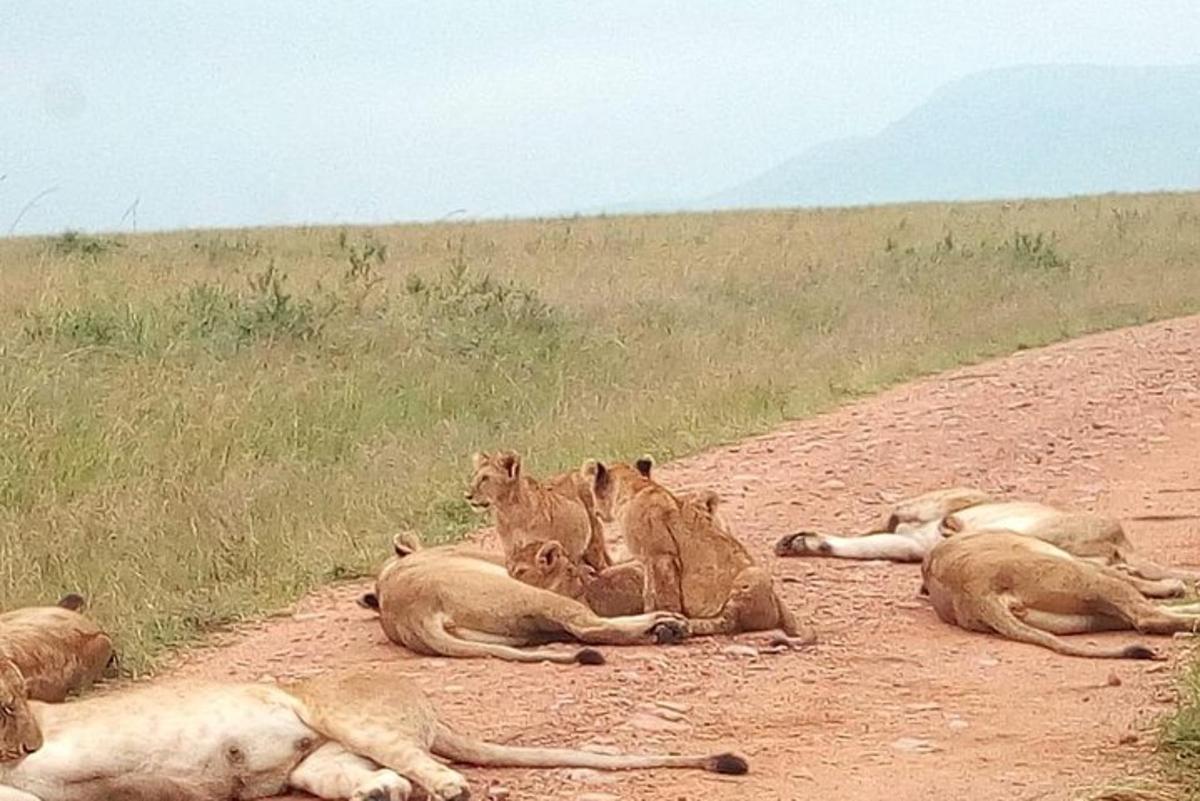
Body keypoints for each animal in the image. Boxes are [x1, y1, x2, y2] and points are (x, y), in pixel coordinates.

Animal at [355, 532, 691, 661]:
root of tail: (414, 615)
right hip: (530, 596)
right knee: (588, 626)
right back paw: (665, 623)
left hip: (517, 632)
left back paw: (663, 630)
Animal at [460, 450, 609, 568]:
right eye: (474, 476)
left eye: (485, 478)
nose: (467, 495)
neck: (508, 513)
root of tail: (577, 472)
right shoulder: (510, 554)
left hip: (593, 546)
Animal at [580, 455, 816, 642]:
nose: (596, 511)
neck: (637, 487)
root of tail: (780, 603)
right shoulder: (648, 561)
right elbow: (649, 591)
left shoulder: (660, 556)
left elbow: (662, 595)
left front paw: (664, 619)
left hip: (750, 576)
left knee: (728, 622)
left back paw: (685, 627)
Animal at [916, 532, 1200, 657]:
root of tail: (975, 593)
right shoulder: (1088, 565)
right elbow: (1136, 580)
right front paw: (1173, 584)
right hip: (1082, 578)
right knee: (1146, 615)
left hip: (1085, 617)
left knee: (1145, 616)